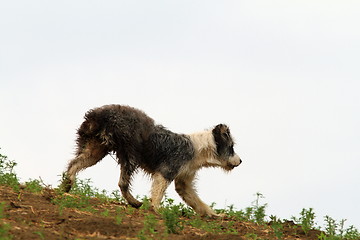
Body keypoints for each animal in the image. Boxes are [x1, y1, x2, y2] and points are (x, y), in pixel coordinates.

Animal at [62, 104, 242, 217]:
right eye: (232, 146)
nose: (240, 161)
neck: (198, 149)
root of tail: (97, 115)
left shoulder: (183, 181)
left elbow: (197, 201)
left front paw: (215, 215)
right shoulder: (166, 172)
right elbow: (158, 193)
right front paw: (156, 210)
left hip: (95, 149)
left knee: (74, 164)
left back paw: (66, 186)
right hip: (130, 153)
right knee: (123, 183)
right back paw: (134, 202)